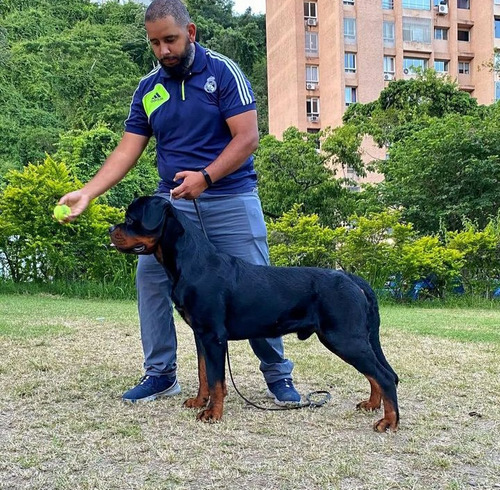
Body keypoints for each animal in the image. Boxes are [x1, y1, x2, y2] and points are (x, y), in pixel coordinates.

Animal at [109, 196, 398, 432]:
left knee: (384, 376)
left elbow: (215, 379)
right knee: (377, 374)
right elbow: (205, 374)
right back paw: (372, 404)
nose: (111, 229)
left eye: (131, 219)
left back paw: (389, 421)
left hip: (343, 338)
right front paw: (200, 402)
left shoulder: (213, 336)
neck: (190, 262)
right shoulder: (201, 335)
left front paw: (212, 413)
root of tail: (351, 278)